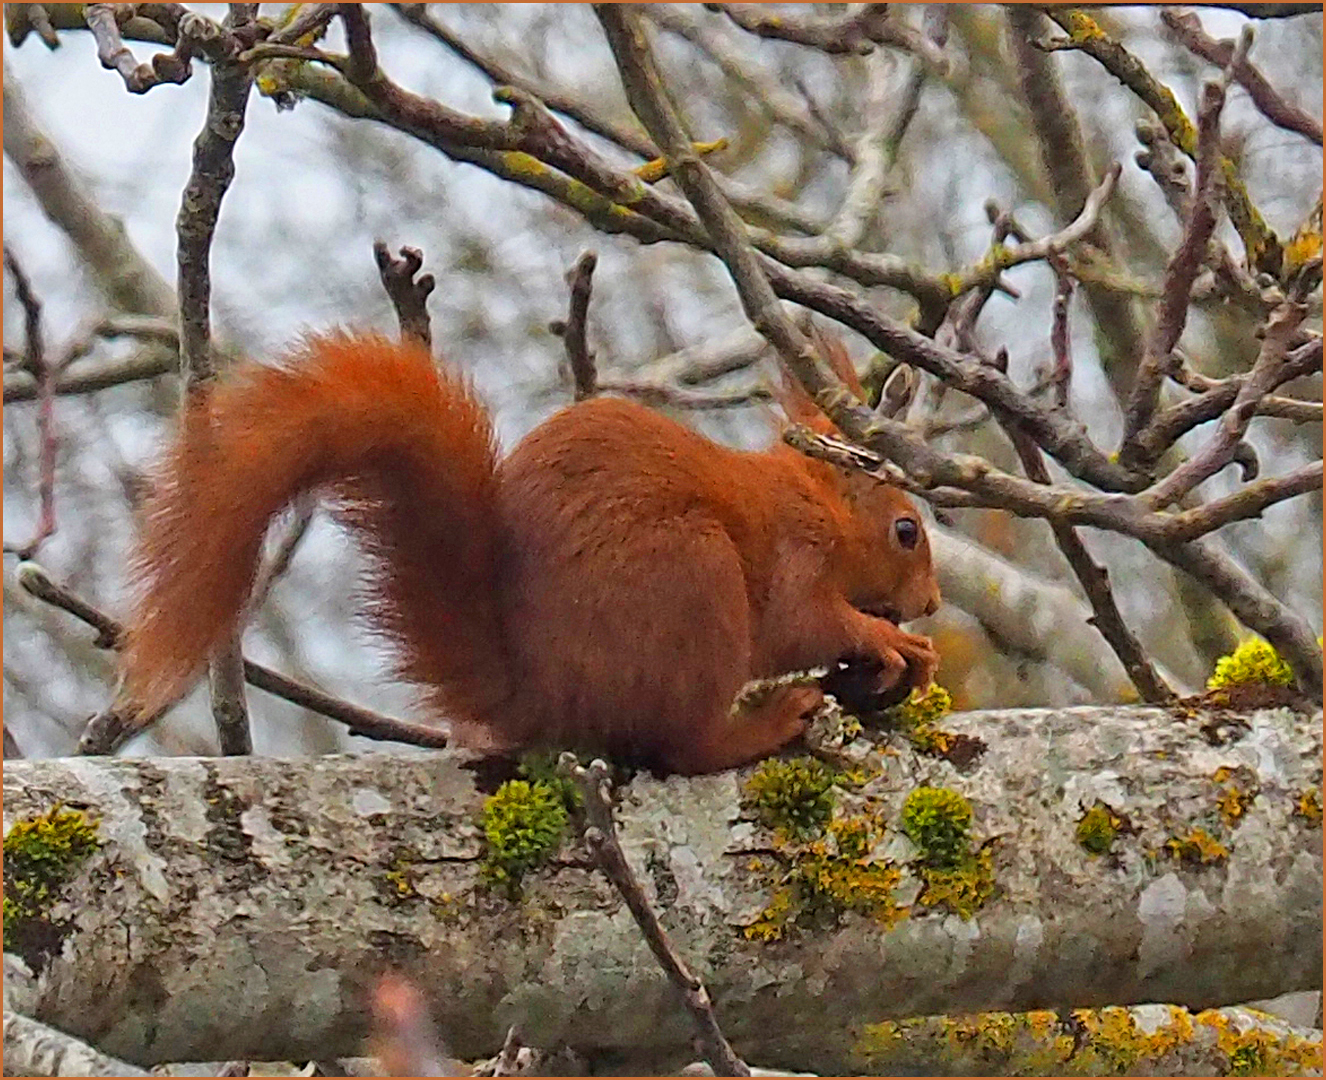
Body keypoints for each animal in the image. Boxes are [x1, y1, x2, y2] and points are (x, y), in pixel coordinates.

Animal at [121, 327, 933, 769]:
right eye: (906, 530)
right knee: (680, 746)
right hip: (694, 583)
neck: (816, 502)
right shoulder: (796, 553)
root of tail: (543, 695)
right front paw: (888, 639)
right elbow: (805, 622)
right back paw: (761, 725)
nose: (928, 604)